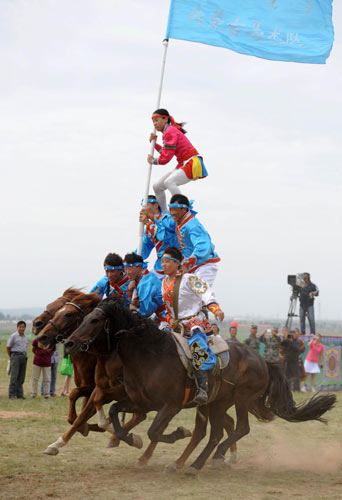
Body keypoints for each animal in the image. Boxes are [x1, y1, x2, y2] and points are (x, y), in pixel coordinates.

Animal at [64, 298, 336, 474]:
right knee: (213, 433)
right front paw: (132, 439)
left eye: (95, 320)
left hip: (240, 399)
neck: (151, 355)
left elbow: (155, 431)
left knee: (238, 428)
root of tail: (262, 360)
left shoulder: (170, 405)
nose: (68, 343)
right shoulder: (140, 402)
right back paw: (192, 463)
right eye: (83, 318)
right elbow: (115, 414)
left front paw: (176, 433)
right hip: (218, 403)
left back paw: (209, 459)